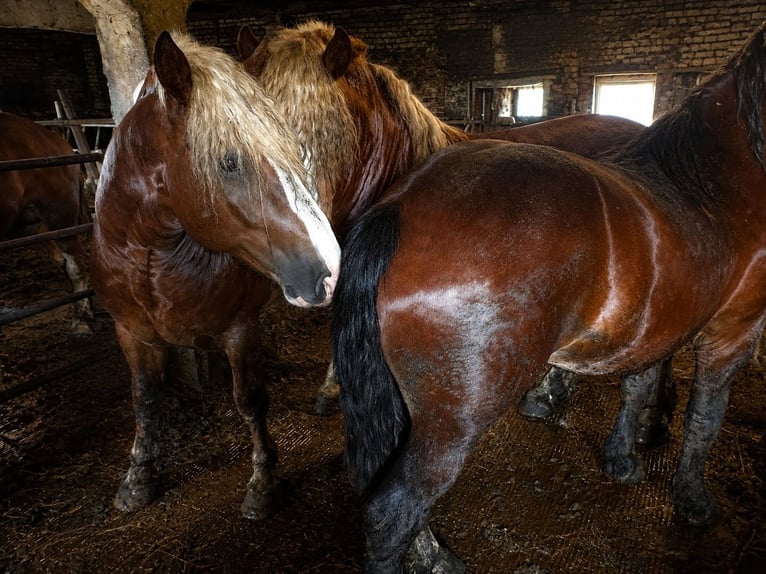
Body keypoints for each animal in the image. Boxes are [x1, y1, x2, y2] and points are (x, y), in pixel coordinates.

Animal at [89, 31, 340, 520]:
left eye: (293, 152)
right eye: (229, 162)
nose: (329, 268)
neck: (152, 259)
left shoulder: (239, 330)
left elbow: (250, 400)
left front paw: (263, 482)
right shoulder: (131, 332)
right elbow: (144, 399)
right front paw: (138, 476)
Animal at [331, 20, 766, 573]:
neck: (712, 185)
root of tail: (399, 207)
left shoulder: (659, 324)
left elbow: (639, 383)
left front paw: (622, 458)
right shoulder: (735, 330)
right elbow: (706, 417)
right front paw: (693, 500)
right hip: (452, 424)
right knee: (391, 513)